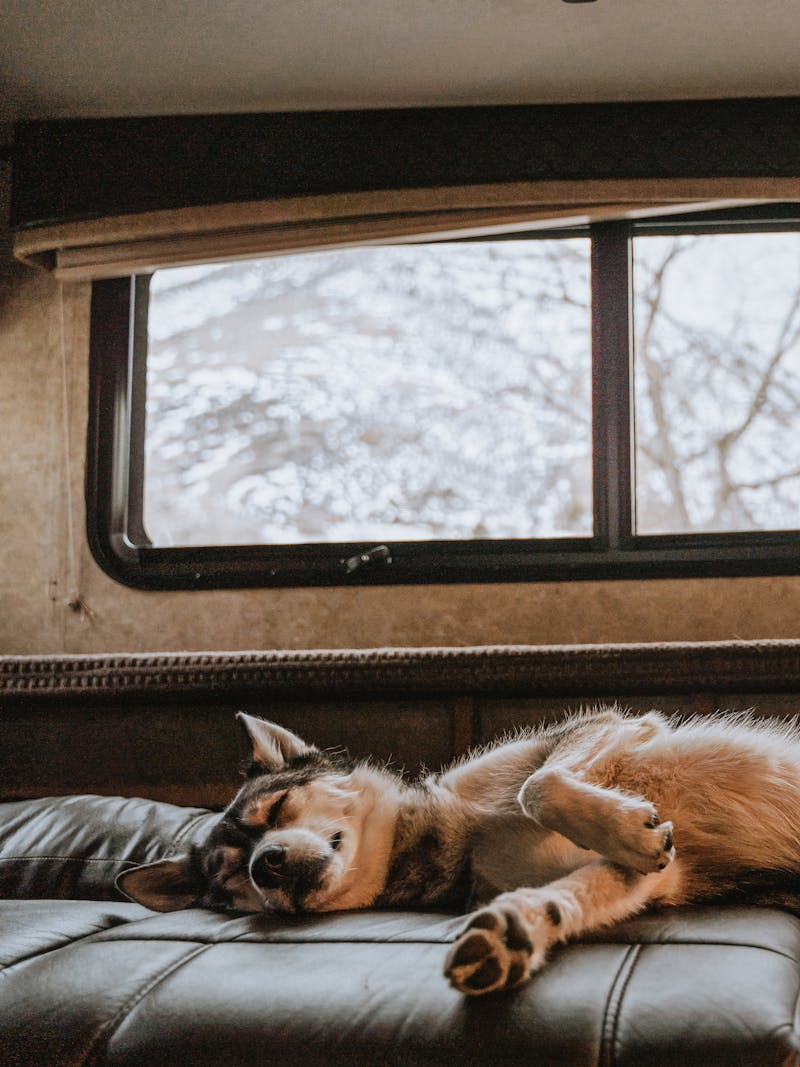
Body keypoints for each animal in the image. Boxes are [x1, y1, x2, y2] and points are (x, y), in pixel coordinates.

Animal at [118, 704, 800, 994]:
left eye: (278, 810)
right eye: (233, 879)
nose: (267, 865)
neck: (451, 834)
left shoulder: (613, 724)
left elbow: (537, 785)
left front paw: (630, 826)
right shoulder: (648, 880)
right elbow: (568, 895)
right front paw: (513, 934)